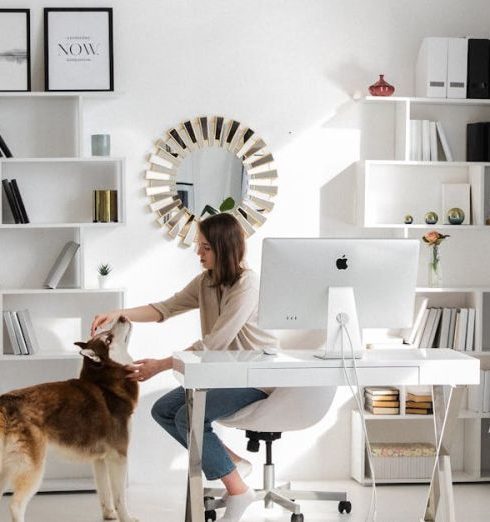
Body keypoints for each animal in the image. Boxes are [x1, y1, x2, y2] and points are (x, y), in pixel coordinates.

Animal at [0, 314, 139, 516]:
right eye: (108, 339)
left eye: (107, 332)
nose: (121, 316)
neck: (108, 385)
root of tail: (7, 400)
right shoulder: (118, 455)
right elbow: (120, 498)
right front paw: (126, 518)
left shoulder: (99, 459)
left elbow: (104, 492)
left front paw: (109, 515)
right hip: (32, 467)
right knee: (16, 505)